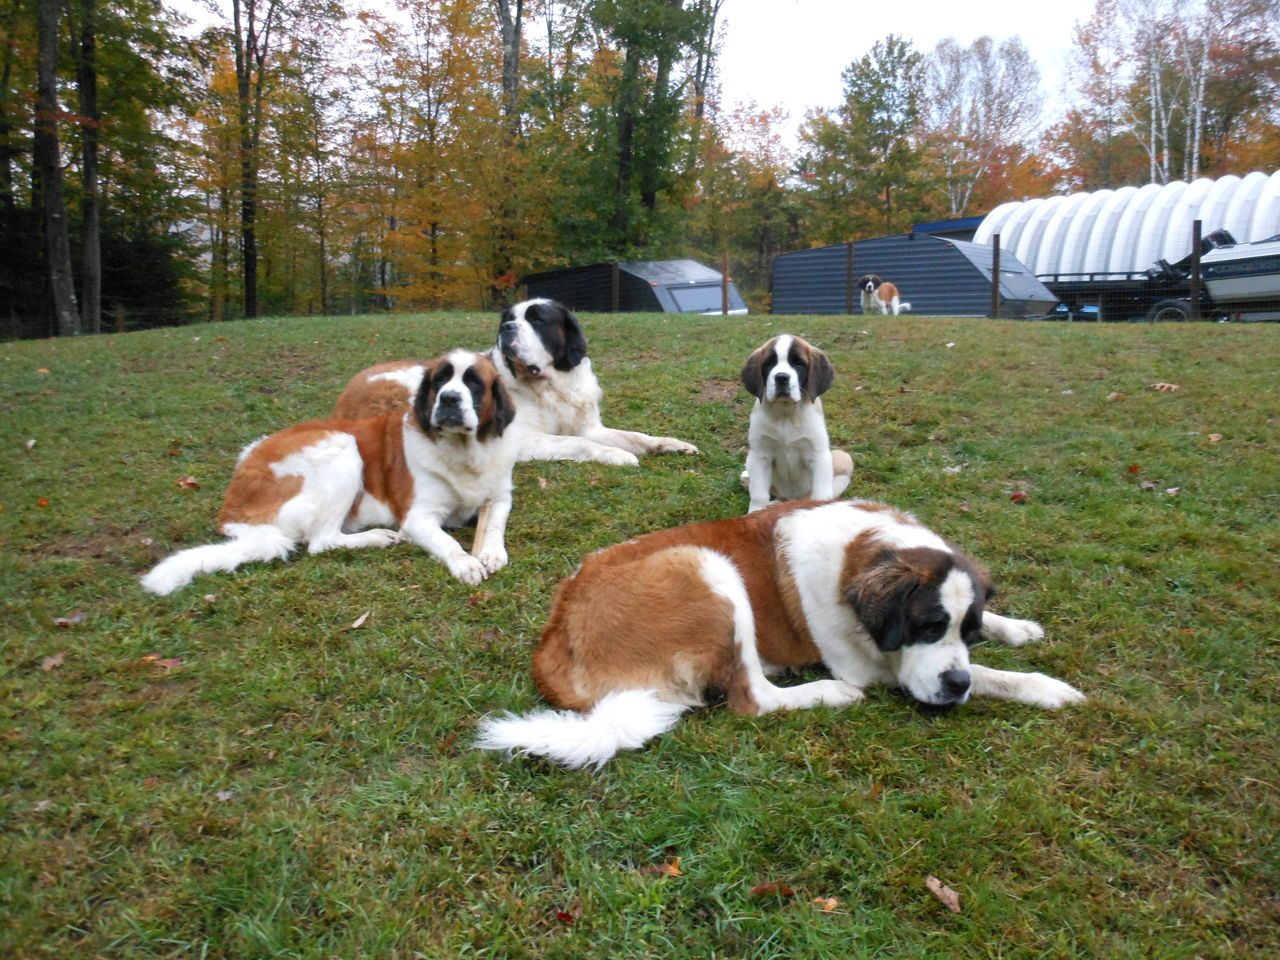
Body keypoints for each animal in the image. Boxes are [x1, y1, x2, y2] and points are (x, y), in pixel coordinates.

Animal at [140, 350, 519, 599]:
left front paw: (491, 552)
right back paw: (378, 536)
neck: (465, 451)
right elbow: (447, 541)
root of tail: (232, 506)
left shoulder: (501, 494)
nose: (449, 398)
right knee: (322, 541)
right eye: (440, 380)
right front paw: (465, 562)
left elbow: (495, 519)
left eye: (474, 383)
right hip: (344, 447)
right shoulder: (418, 517)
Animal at [332, 299, 701, 468]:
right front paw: (616, 456)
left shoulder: (589, 425)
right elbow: (578, 443)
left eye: (537, 319)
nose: (506, 327)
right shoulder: (523, 439)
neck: (551, 385)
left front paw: (670, 444)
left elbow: (633, 436)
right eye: (508, 318)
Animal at [476, 499, 1085, 773]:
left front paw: (1017, 627)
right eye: (927, 626)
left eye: (966, 628)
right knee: (753, 699)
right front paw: (1045, 688)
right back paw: (827, 694)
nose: (954, 687)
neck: (863, 553)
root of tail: (558, 628)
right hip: (708, 568)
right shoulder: (878, 665)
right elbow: (983, 674)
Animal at [742, 332, 849, 512]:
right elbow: (758, 495)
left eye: (798, 363)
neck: (786, 414)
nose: (781, 377)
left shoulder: (819, 455)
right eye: (769, 363)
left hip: (843, 458)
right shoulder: (759, 455)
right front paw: (755, 513)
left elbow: (820, 495)